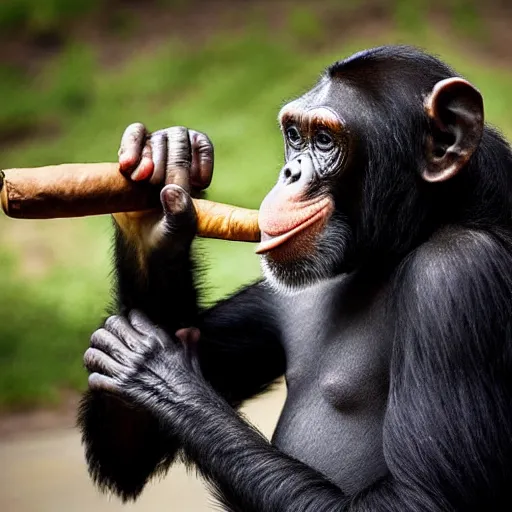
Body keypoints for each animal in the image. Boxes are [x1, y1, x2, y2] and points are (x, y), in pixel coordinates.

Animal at [78, 45, 512, 512]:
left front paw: (158, 372)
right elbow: (129, 449)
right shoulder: (280, 291)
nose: (290, 173)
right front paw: (158, 172)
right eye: (294, 136)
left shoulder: (456, 275)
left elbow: (416, 498)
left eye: (324, 140)